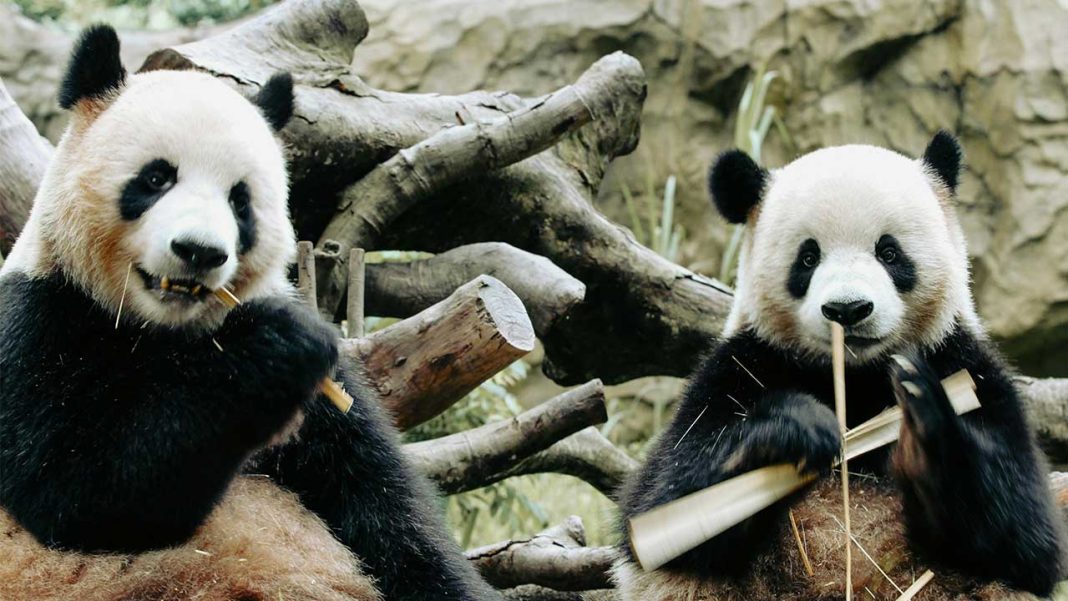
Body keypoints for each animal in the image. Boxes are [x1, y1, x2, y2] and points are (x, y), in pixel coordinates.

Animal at [0, 25, 500, 601]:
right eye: (156, 179)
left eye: (240, 201)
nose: (199, 251)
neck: (163, 332)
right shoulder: (37, 320)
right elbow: (74, 495)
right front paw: (274, 350)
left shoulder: (326, 407)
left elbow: (383, 511)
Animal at [614, 133, 1066, 598]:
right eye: (808, 258)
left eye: (889, 252)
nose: (848, 310)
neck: (855, 377)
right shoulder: (740, 367)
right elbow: (663, 496)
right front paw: (795, 427)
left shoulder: (966, 367)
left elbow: (1027, 537)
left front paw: (924, 424)